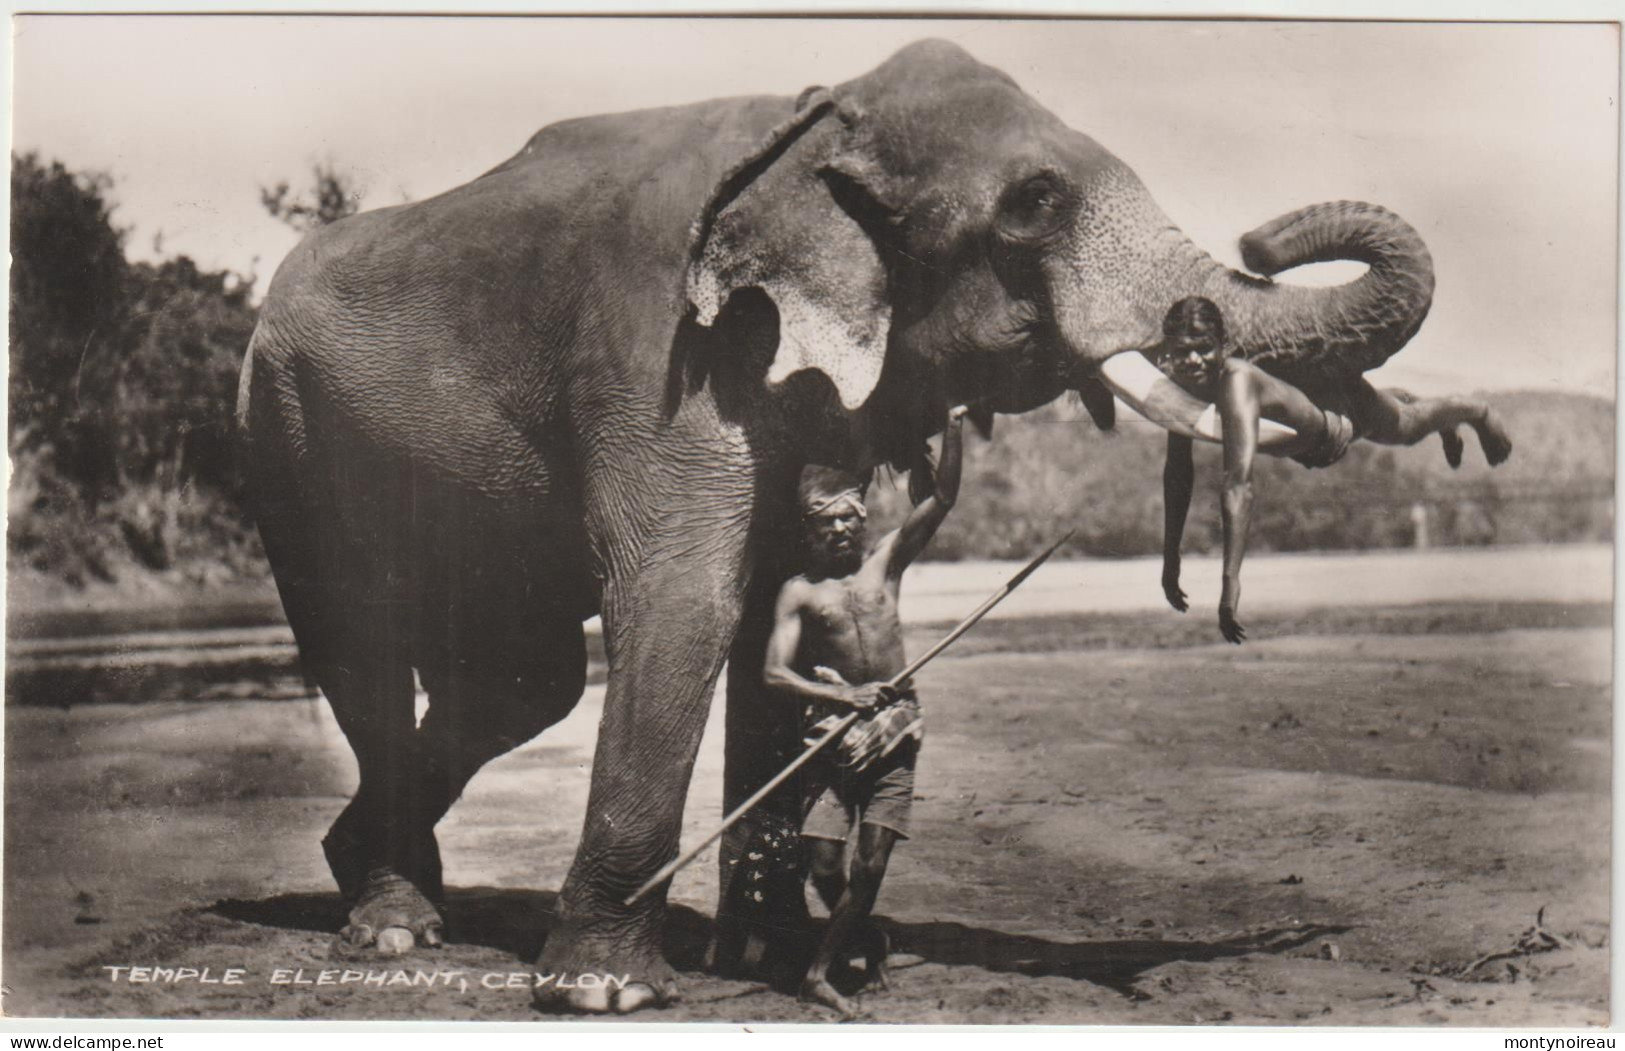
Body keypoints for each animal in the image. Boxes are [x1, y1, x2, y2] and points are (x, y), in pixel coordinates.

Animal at [237, 38, 1436, 1013]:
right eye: (1034, 202)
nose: (1256, 246)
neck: (814, 113)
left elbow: (761, 604)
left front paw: (765, 957)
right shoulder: (660, 356)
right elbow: (687, 600)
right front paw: (607, 994)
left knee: (526, 683)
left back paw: (379, 878)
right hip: (286, 434)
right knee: (368, 641)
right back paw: (395, 927)